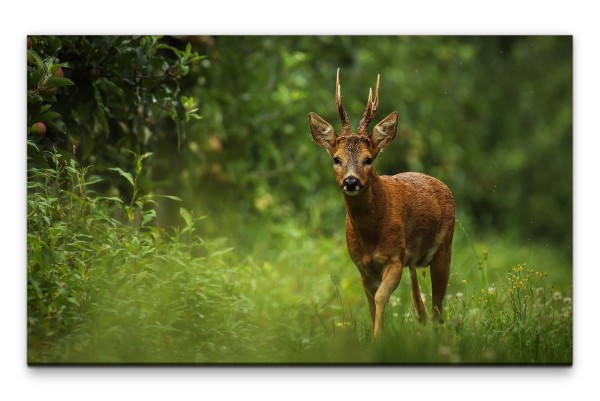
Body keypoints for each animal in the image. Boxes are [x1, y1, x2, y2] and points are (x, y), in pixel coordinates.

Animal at [310, 69, 454, 338]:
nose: (351, 181)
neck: (371, 236)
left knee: (439, 304)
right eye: (336, 159)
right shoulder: (362, 266)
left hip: (444, 247)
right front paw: (378, 334)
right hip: (413, 258)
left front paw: (378, 338)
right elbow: (370, 304)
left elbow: (380, 298)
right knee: (421, 302)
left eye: (368, 159)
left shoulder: (394, 257)